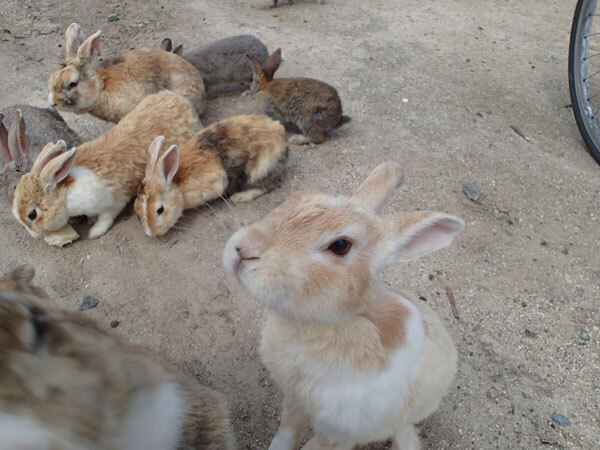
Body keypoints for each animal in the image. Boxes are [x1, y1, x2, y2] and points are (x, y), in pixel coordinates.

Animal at [12, 89, 202, 241]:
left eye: (32, 215)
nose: (34, 235)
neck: (66, 195)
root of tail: (182, 103)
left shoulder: (113, 200)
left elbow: (106, 217)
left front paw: (94, 231)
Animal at [134, 114, 288, 237]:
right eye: (137, 212)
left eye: (160, 210)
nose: (151, 234)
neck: (176, 183)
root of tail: (281, 136)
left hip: (258, 170)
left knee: (270, 184)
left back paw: (238, 197)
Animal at [225, 160, 464, 448]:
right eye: (296, 197)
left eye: (340, 245)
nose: (241, 251)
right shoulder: (294, 402)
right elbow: (285, 437)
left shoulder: (339, 435)